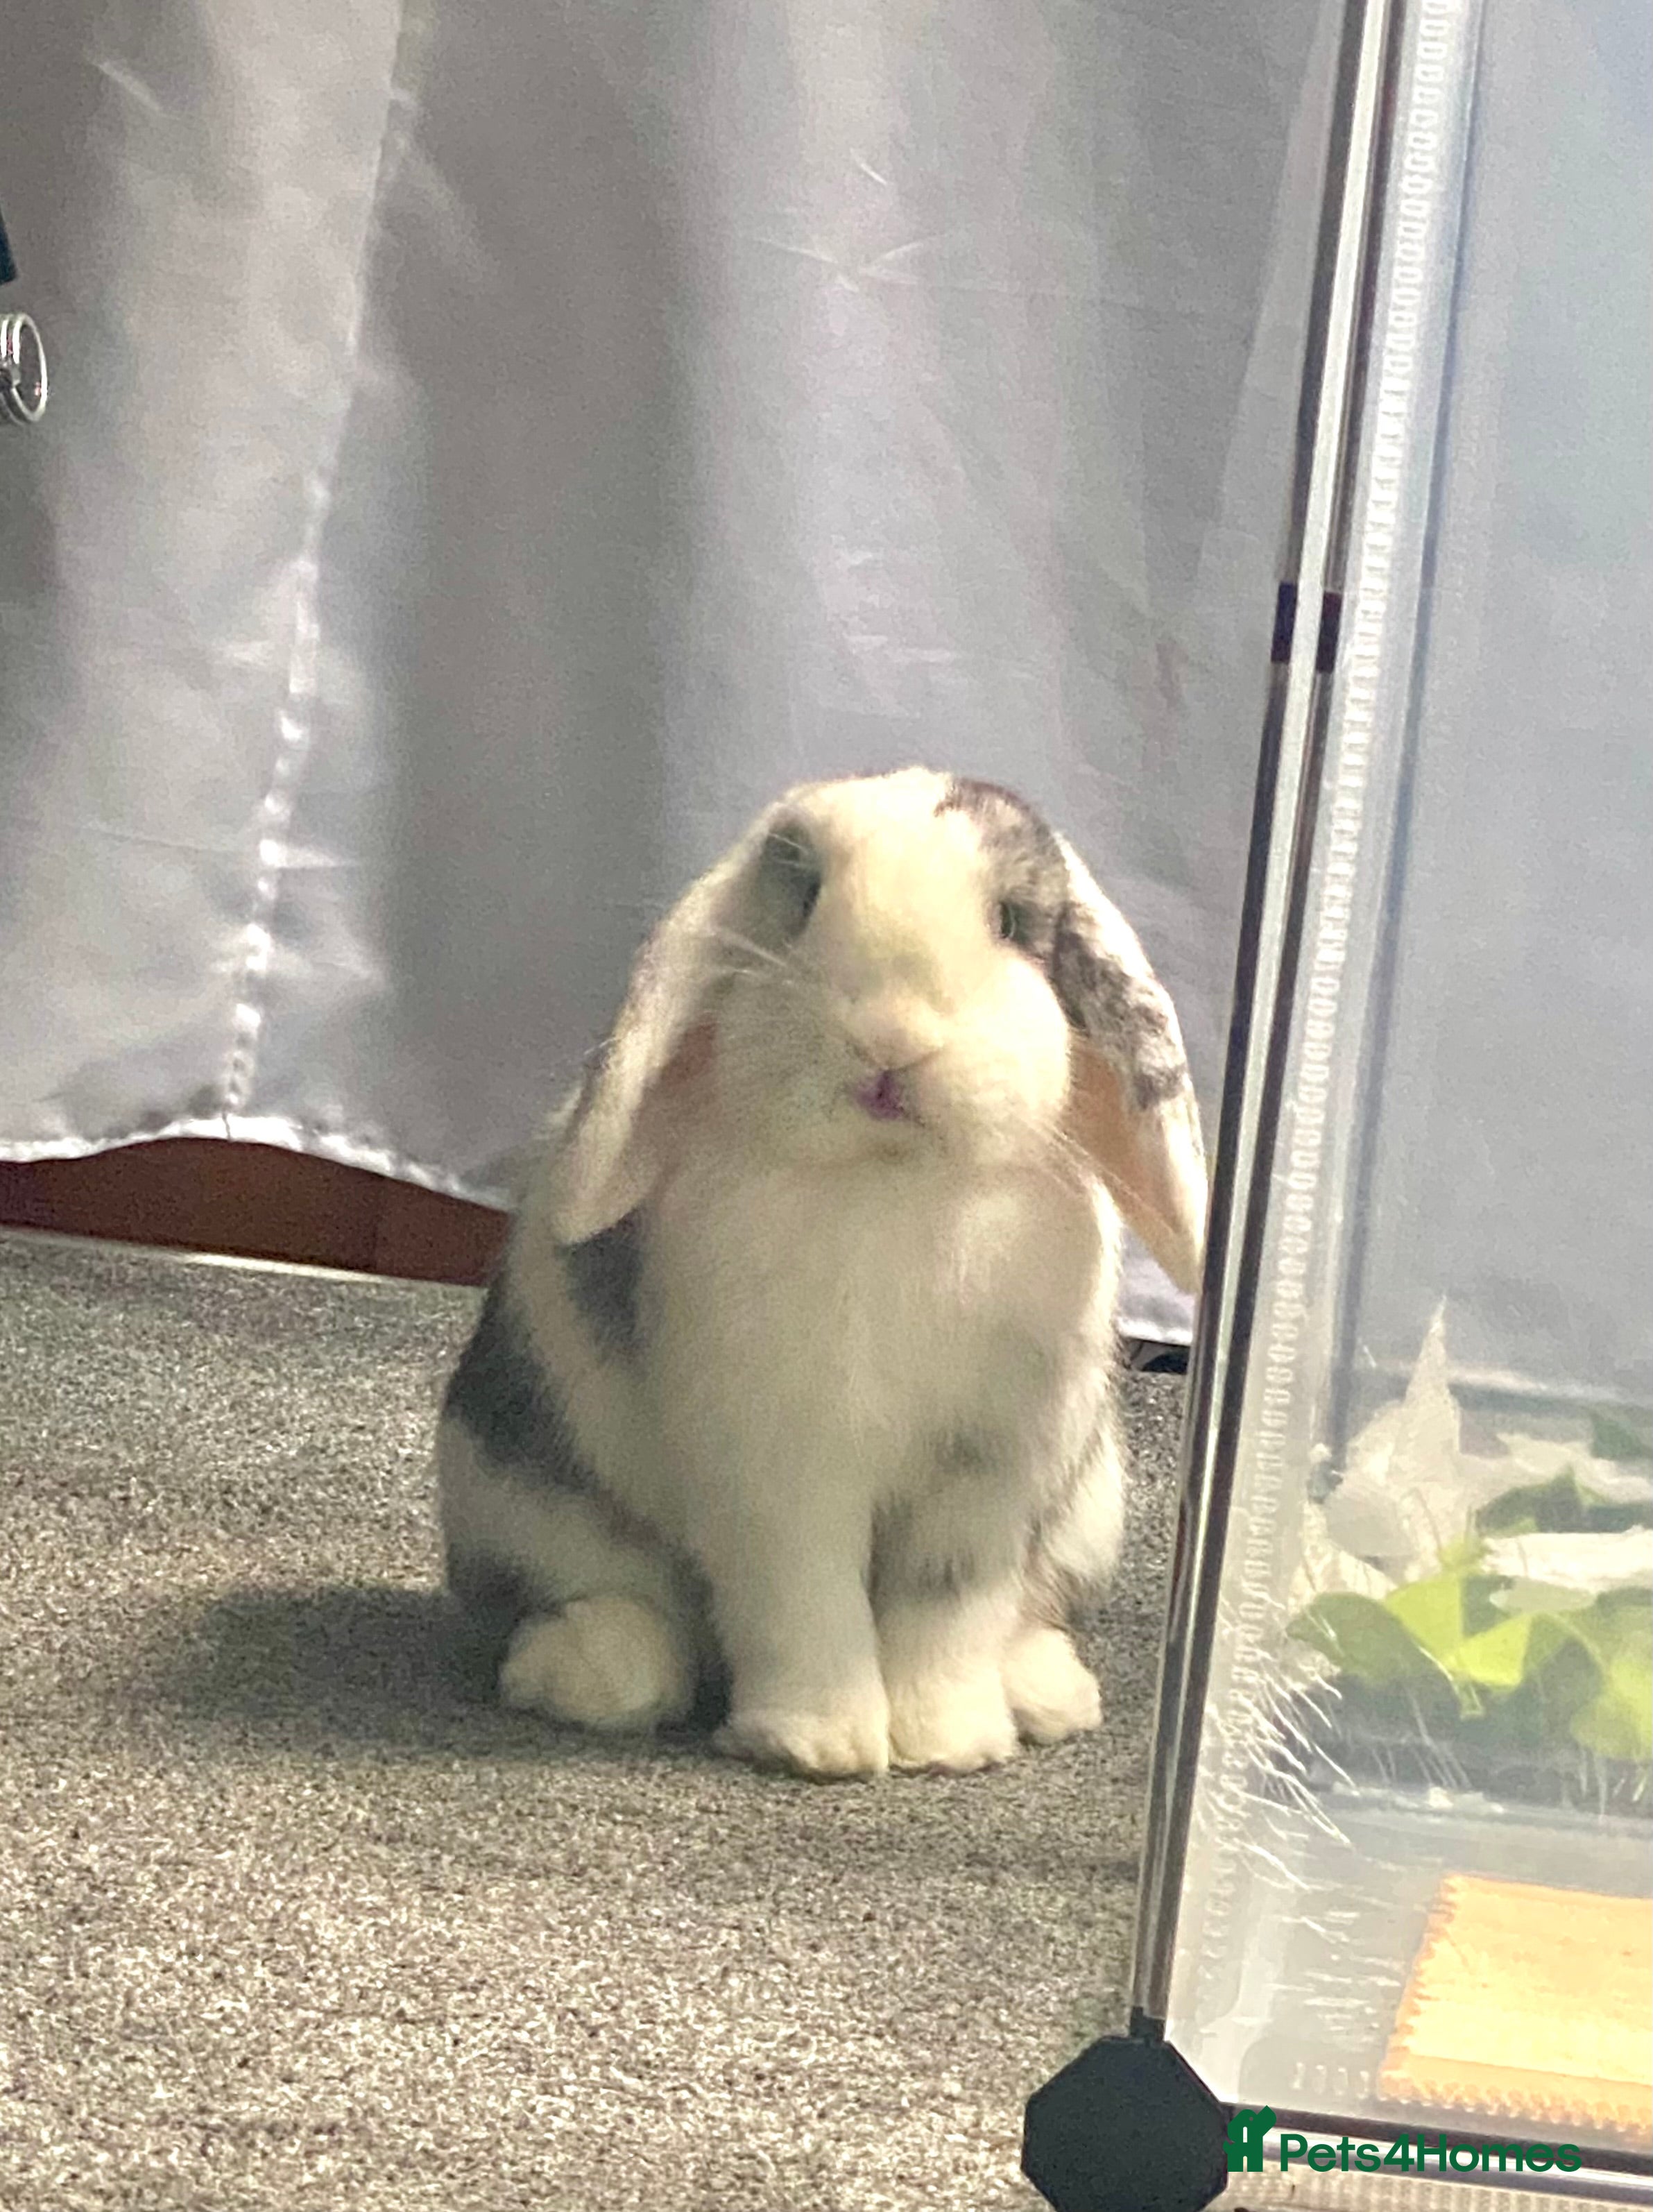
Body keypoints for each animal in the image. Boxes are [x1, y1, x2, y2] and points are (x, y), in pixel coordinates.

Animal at [437, 766, 1207, 1780]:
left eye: (1010, 919)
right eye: (803, 898)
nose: (889, 1039)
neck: (889, 1184)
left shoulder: (985, 1471)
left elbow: (948, 1607)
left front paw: (947, 1743)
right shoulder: (777, 1462)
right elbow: (801, 1597)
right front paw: (817, 1744)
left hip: (1085, 1517)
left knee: (1025, 1615)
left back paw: (1048, 1694)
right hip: (521, 1497)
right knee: (612, 1604)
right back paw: (589, 1673)